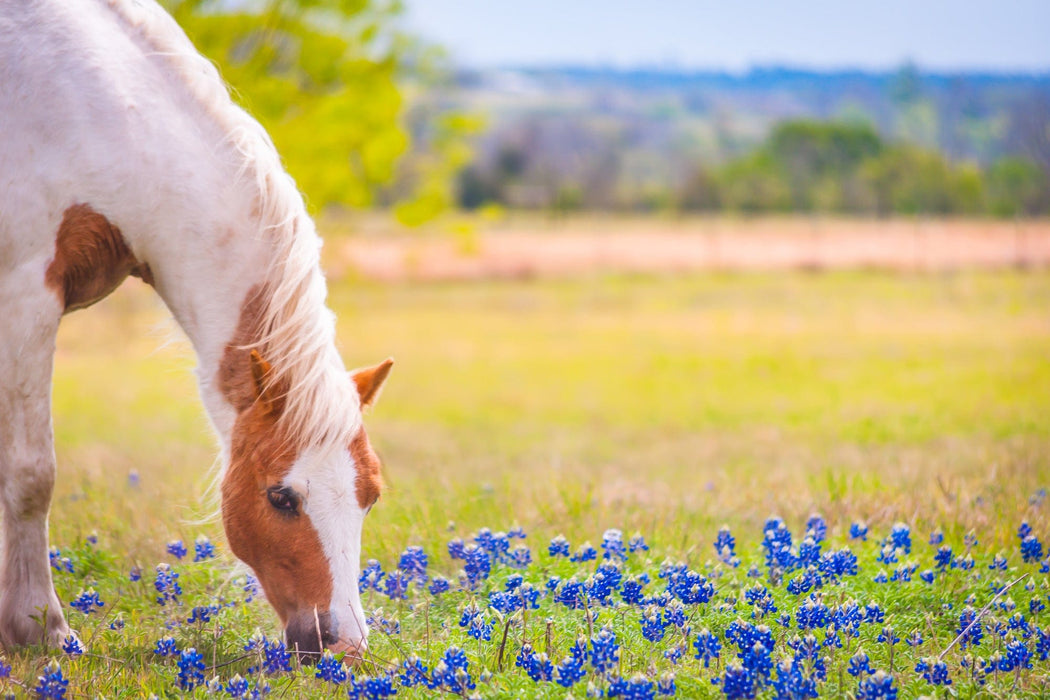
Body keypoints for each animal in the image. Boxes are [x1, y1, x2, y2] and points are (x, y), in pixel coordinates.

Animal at [0, 0, 392, 660]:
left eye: (371, 495)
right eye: (280, 496)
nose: (345, 647)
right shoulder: (24, 292)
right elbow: (31, 473)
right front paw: (40, 630)